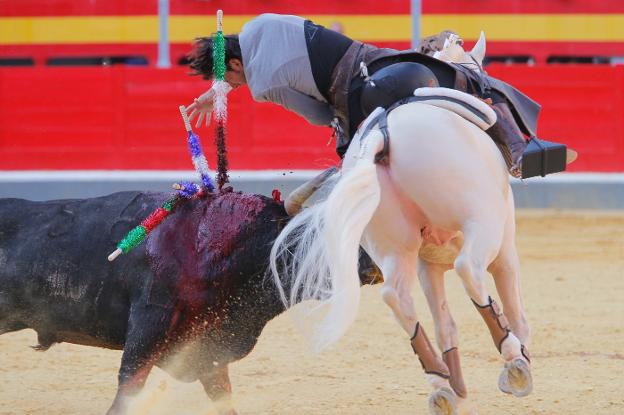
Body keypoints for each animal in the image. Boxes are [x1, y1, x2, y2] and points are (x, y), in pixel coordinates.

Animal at [0, 190, 382, 414]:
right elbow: (129, 389)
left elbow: (223, 397)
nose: (371, 262)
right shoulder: (148, 325)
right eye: (312, 233)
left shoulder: (207, 347)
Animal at [270, 33, 532, 415]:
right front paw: (518, 360)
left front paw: (457, 386)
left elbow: (444, 323)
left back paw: (439, 382)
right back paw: (512, 362)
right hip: (482, 224)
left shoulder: (428, 266)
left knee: (397, 297)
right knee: (468, 269)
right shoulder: (505, 247)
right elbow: (514, 306)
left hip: (395, 247)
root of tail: (383, 133)